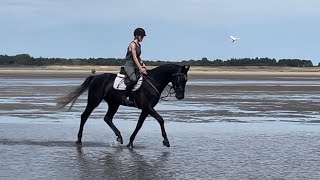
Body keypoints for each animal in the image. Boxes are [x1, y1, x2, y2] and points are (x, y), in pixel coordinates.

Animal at [57, 64, 190, 148]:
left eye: (186, 80)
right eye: (180, 79)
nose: (180, 96)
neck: (154, 81)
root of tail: (96, 77)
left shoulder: (145, 109)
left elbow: (139, 125)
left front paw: (130, 143)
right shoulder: (148, 107)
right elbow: (161, 120)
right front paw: (166, 141)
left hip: (113, 103)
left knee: (107, 118)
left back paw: (119, 137)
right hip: (94, 101)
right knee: (84, 116)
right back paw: (79, 140)